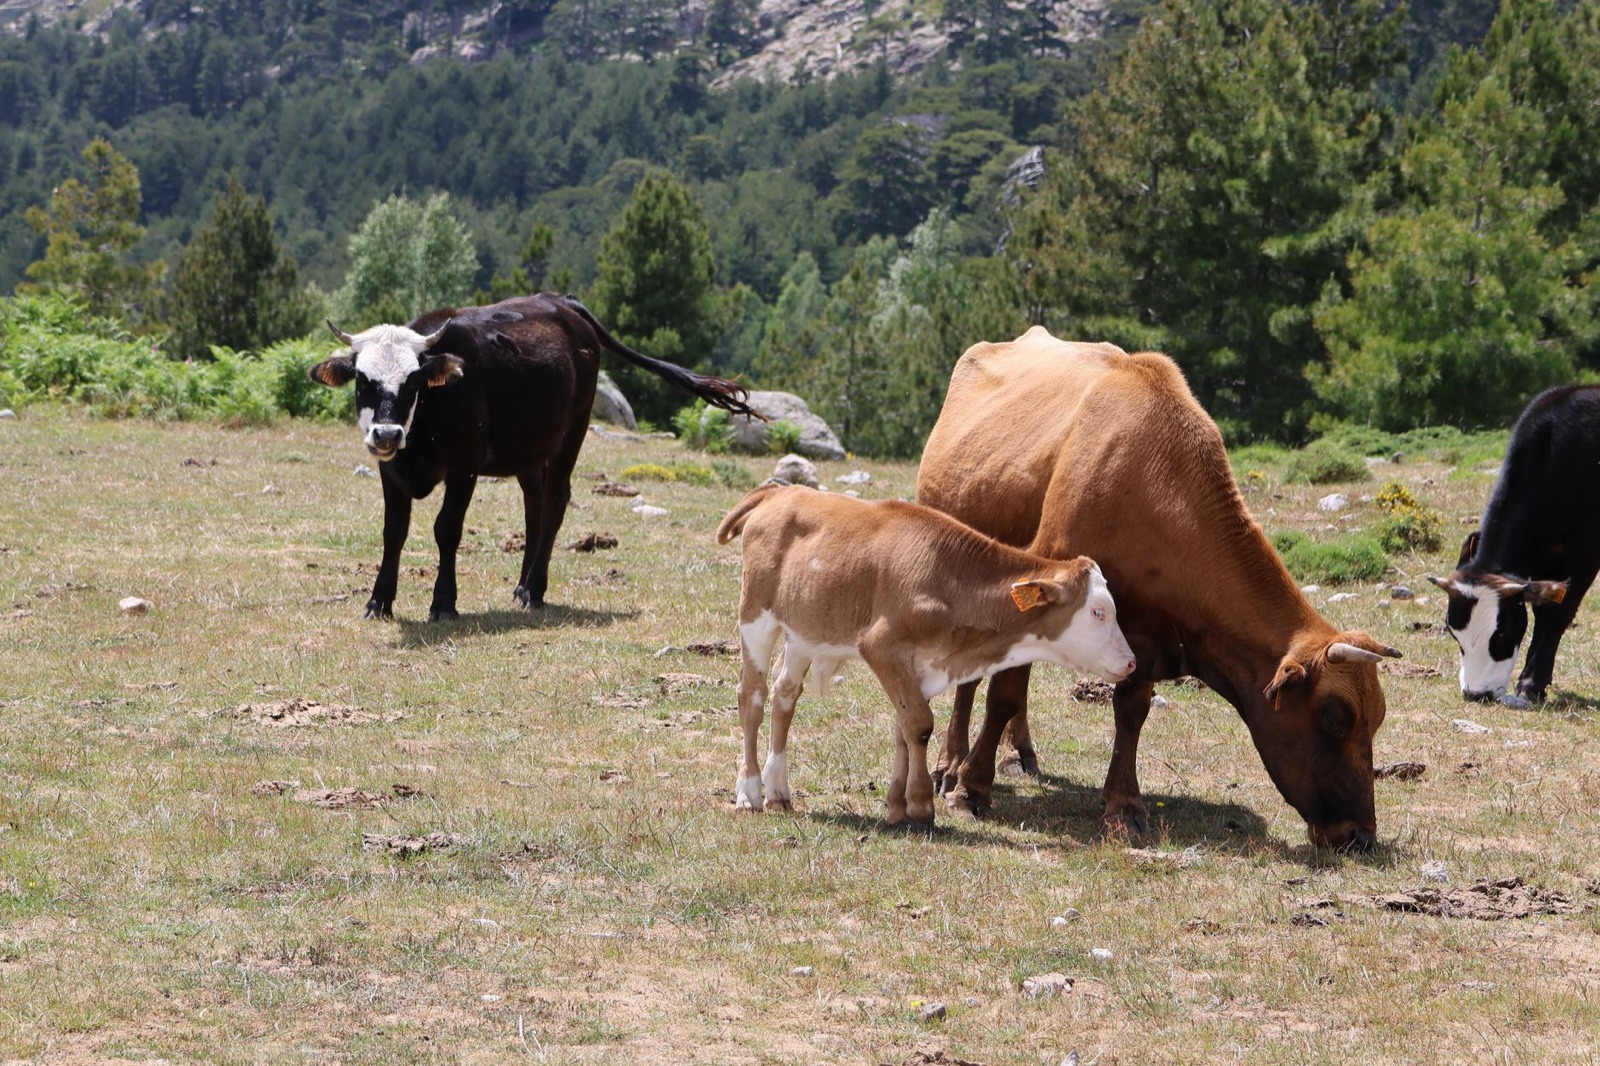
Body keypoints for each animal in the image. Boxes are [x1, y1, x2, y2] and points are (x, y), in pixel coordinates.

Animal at [307, 294, 756, 621]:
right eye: (362, 381)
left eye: (414, 381)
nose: (387, 433)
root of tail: (562, 302)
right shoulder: (391, 469)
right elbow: (393, 532)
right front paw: (378, 602)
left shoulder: (465, 468)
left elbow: (447, 529)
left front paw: (444, 603)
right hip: (530, 451)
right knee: (534, 507)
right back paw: (522, 584)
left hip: (572, 432)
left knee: (555, 502)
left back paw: (534, 590)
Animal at [715, 482, 1137, 827]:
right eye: (1098, 612)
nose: (1131, 661)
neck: (948, 580)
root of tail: (780, 492)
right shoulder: (881, 646)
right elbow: (919, 724)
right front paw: (920, 807)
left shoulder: (919, 668)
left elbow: (905, 729)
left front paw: (896, 806)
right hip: (756, 617)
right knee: (752, 697)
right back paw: (750, 790)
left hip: (804, 632)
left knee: (784, 697)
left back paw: (778, 792)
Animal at [916, 328, 1401, 850]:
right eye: (1335, 717)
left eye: (1377, 718)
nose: (1360, 834)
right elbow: (1003, 694)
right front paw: (971, 789)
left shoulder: (1149, 634)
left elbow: (1131, 712)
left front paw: (1124, 806)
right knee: (973, 679)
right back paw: (950, 764)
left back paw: (1017, 755)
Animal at [1426, 385, 1600, 704]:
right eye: (1454, 633)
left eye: (1502, 635)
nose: (1476, 693)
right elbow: (1541, 611)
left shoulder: (1584, 554)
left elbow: (1557, 613)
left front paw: (1532, 682)